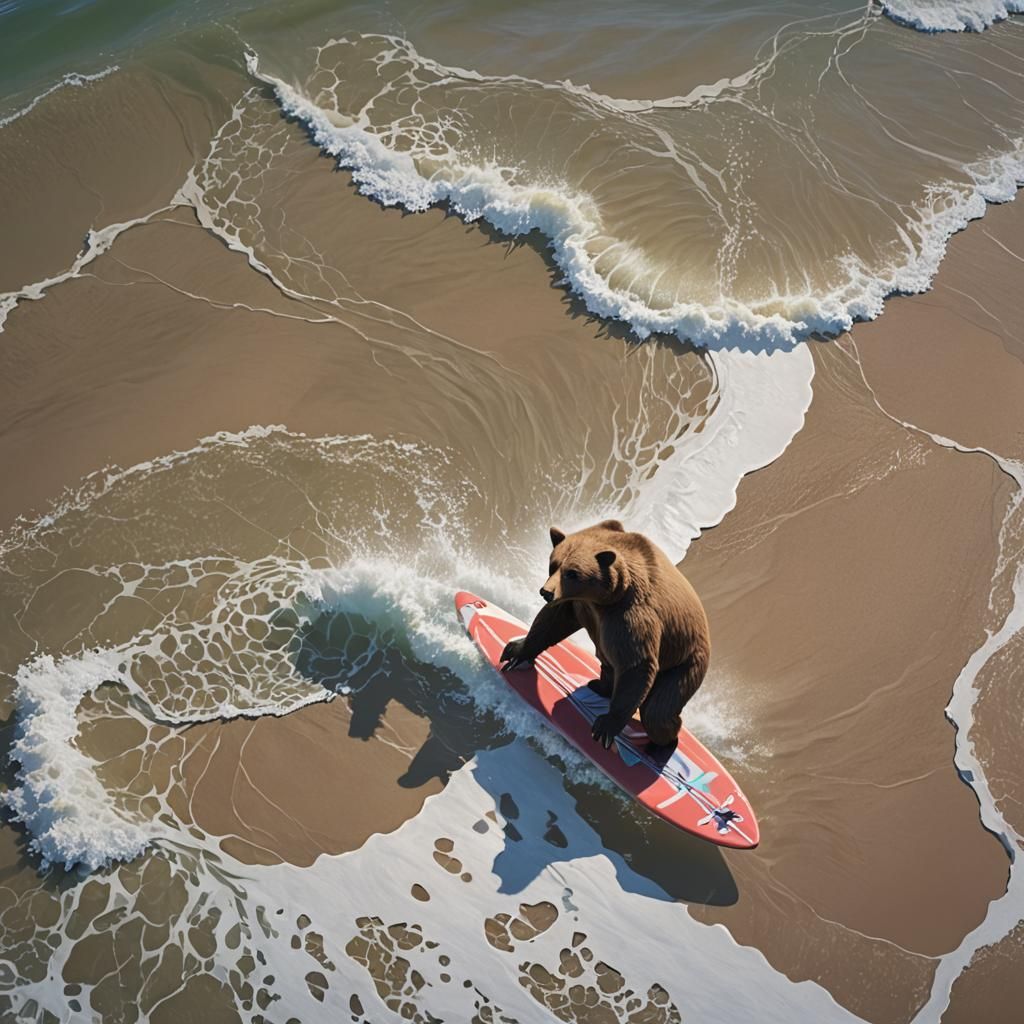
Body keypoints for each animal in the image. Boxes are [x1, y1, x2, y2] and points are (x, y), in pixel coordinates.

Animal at [500, 519, 709, 753]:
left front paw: (605, 727)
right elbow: (551, 621)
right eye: (553, 565)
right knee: (610, 665)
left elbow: (638, 664)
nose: (546, 592)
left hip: (685, 661)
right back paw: (599, 686)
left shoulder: (630, 616)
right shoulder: (579, 604)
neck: (603, 598)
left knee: (658, 711)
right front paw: (515, 652)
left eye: (572, 572)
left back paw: (663, 745)